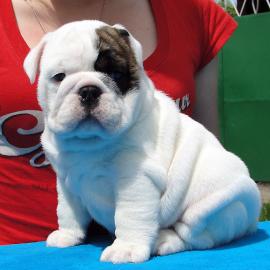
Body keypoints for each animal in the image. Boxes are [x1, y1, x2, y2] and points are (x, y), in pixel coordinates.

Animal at [23, 20, 262, 264]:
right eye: (59, 77)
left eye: (116, 74)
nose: (89, 90)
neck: (89, 142)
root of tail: (252, 223)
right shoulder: (66, 180)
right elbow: (68, 210)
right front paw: (67, 235)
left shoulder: (136, 179)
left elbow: (131, 215)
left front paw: (126, 248)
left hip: (212, 204)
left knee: (195, 236)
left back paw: (165, 240)